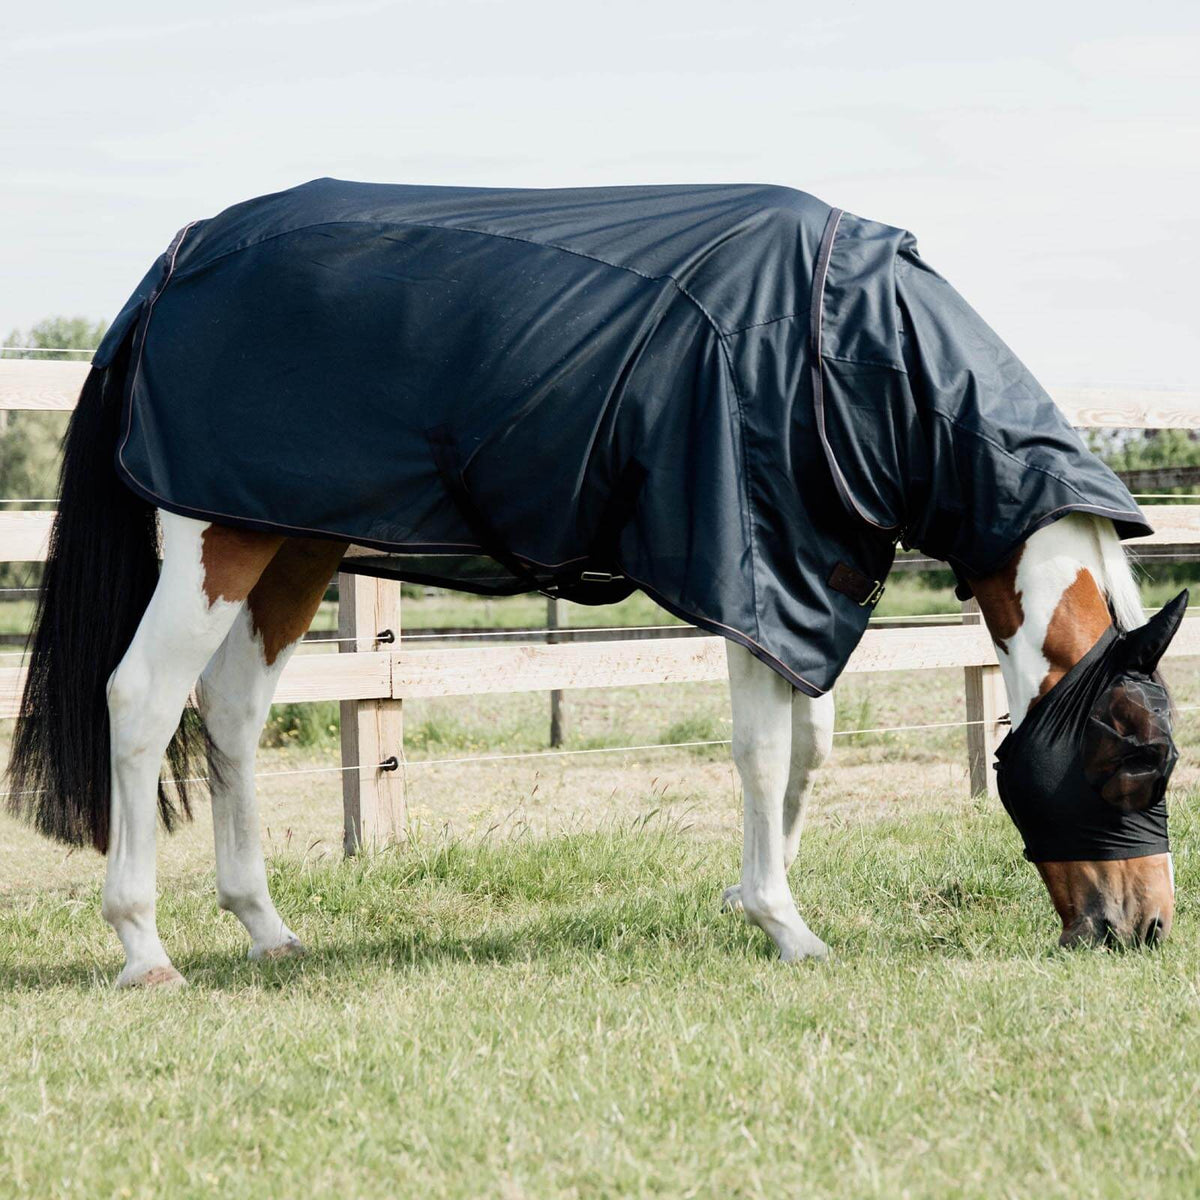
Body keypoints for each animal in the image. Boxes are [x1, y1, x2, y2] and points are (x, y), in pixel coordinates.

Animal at [6, 181, 1185, 985]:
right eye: (1134, 761)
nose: (1146, 930)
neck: (843, 347)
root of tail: (176, 263)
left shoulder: (807, 586)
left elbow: (810, 752)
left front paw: (752, 893)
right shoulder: (749, 575)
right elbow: (762, 754)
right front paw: (785, 924)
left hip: (291, 545)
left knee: (234, 715)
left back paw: (265, 927)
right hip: (216, 541)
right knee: (140, 702)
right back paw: (145, 947)